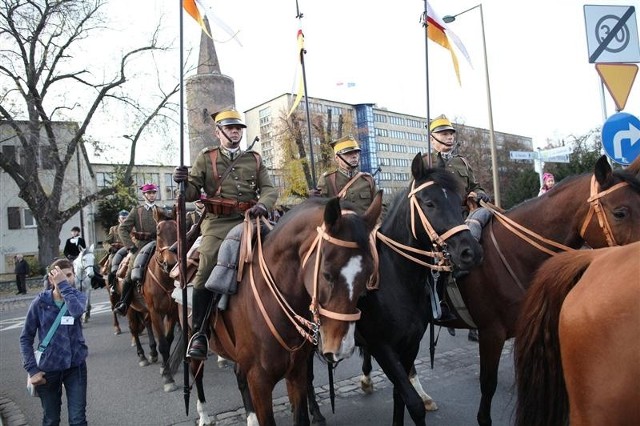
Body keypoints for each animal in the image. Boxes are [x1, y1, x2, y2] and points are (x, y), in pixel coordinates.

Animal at [182, 194, 384, 426]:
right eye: (326, 274)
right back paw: (204, 415)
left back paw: (250, 417)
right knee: (196, 371)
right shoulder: (260, 381)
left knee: (237, 373)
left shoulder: (296, 373)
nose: (342, 347)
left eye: (368, 274)